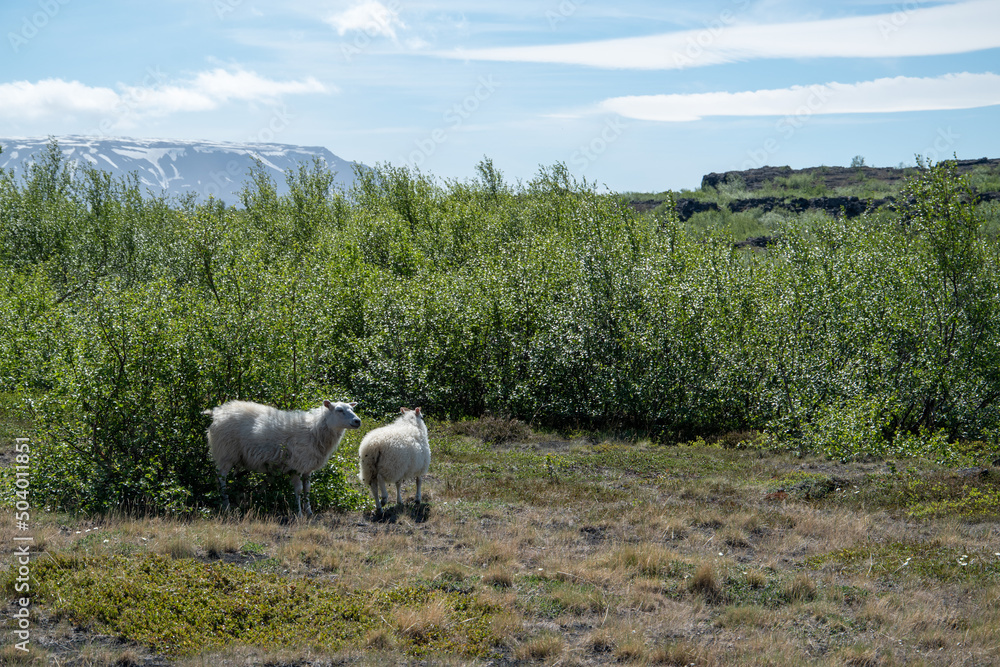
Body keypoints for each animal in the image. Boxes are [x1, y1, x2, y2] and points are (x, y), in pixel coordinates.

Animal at [203, 399, 361, 516]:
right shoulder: (296, 466)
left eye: (351, 408)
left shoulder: (307, 467)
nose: (358, 421)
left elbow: (307, 489)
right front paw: (299, 513)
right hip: (225, 453)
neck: (314, 430)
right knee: (221, 477)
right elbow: (298, 490)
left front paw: (309, 511)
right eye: (339, 410)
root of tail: (218, 412)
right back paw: (226, 504)